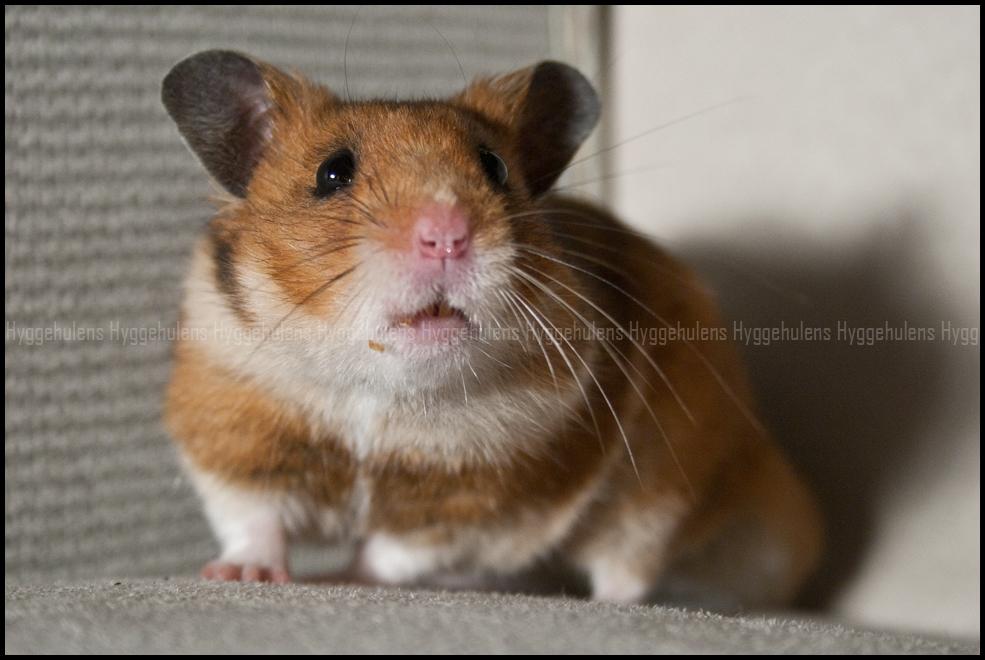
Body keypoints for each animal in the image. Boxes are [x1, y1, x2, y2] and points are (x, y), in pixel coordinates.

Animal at [161, 49, 822, 607]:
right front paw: (239, 576)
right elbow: (254, 520)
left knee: (627, 575)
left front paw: (345, 579)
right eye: (332, 172)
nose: (447, 236)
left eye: (495, 166)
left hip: (660, 495)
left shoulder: (474, 502)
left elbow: (390, 553)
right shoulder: (234, 439)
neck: (381, 391)